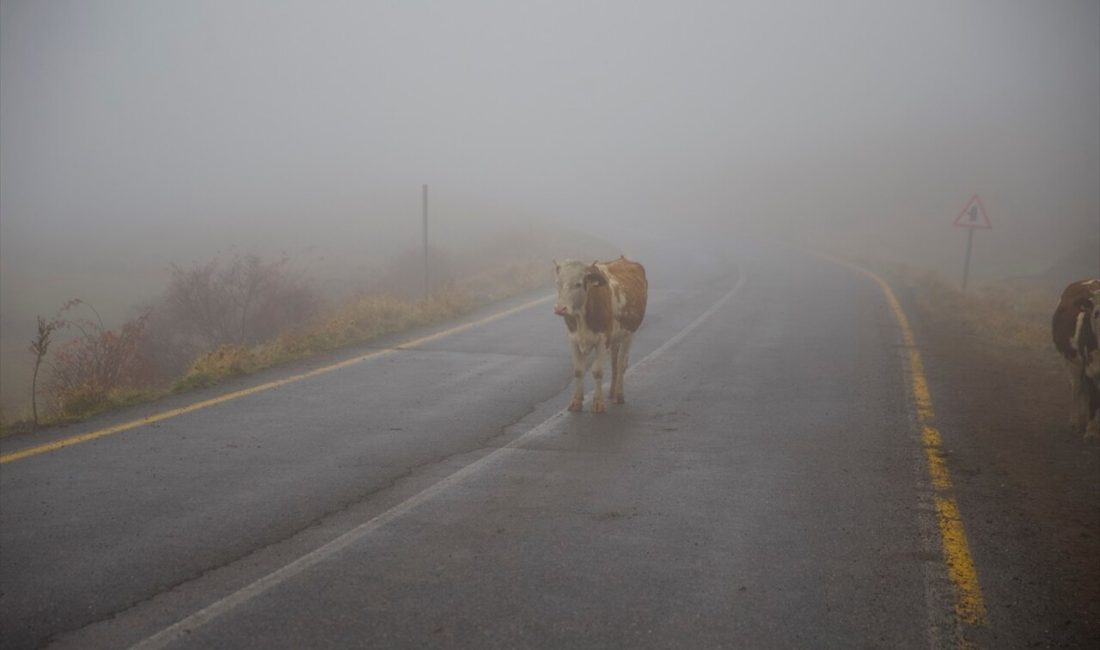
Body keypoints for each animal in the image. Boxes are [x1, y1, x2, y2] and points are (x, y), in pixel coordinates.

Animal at [550, 255, 642, 411]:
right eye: (558, 283)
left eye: (578, 284)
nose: (560, 308)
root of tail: (622, 259)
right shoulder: (573, 339)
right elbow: (578, 370)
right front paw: (576, 401)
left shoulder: (602, 340)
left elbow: (597, 371)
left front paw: (598, 403)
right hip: (615, 339)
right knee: (614, 363)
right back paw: (611, 392)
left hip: (628, 335)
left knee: (621, 364)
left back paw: (619, 395)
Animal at [1047, 277, 1100, 439]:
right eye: (1097, 313)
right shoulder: (1090, 369)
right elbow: (1094, 399)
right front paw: (1091, 432)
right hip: (1071, 360)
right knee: (1076, 387)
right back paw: (1076, 422)